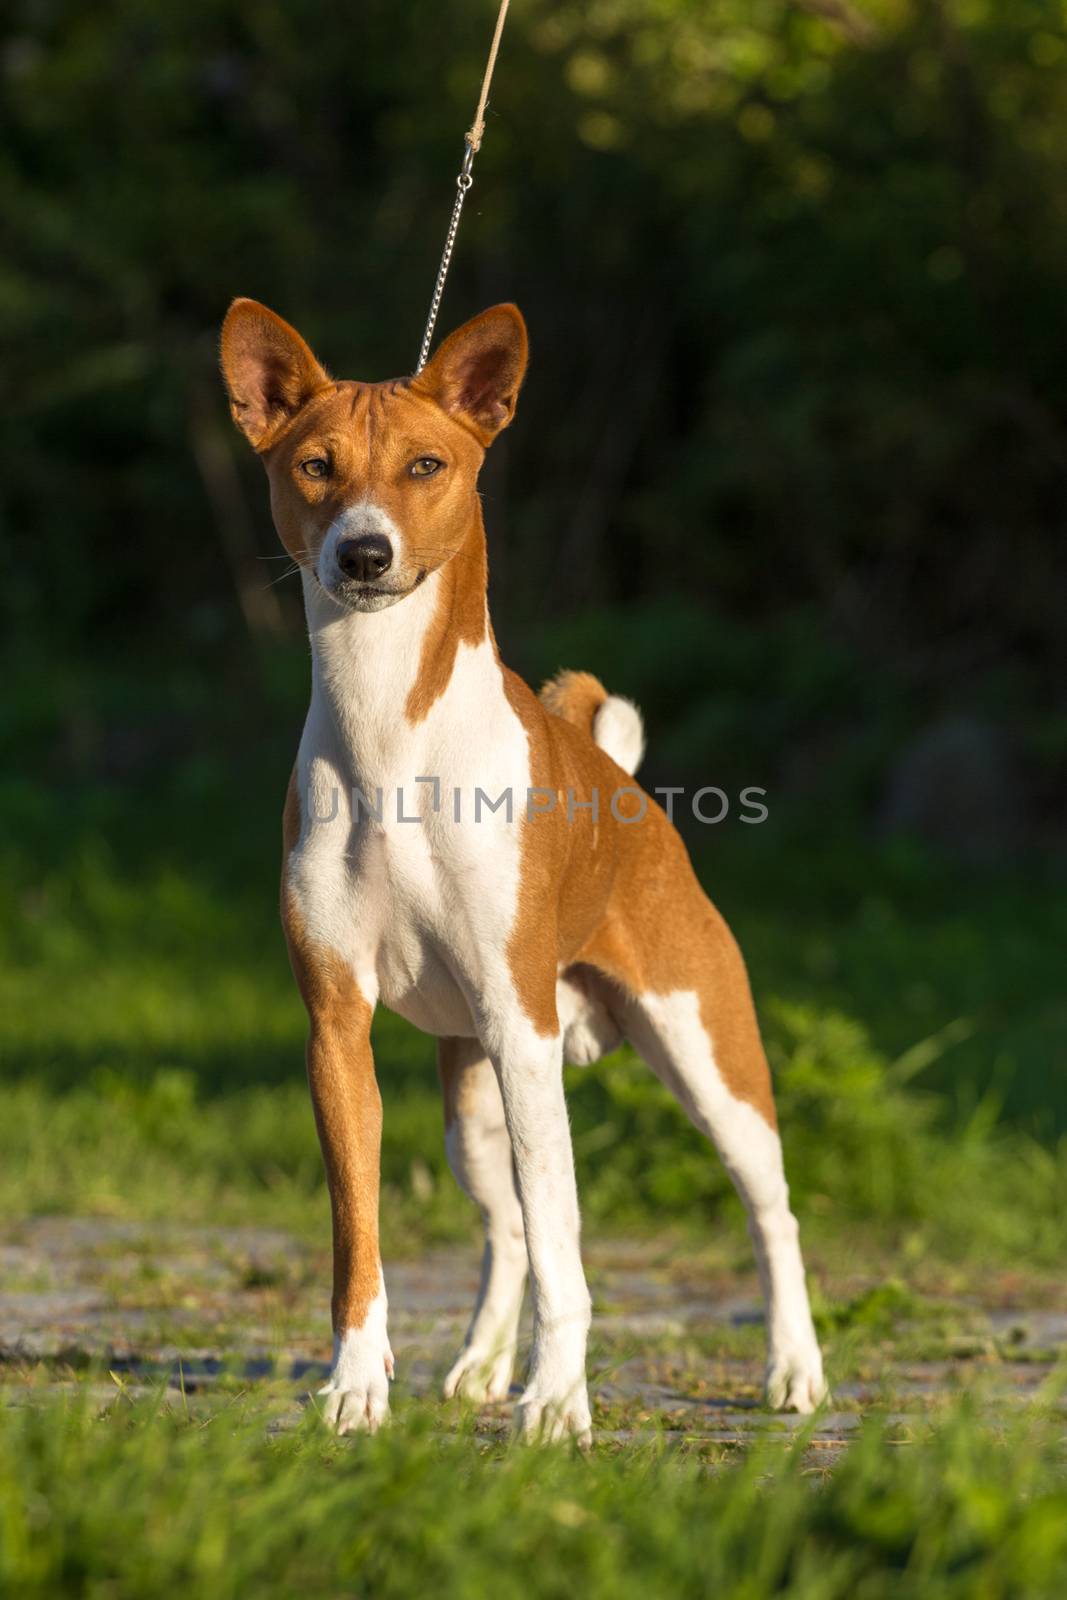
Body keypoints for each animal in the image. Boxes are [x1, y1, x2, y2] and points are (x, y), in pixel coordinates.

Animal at [220, 297, 831, 1440]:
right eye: (315, 467)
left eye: (425, 465)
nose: (362, 553)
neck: (390, 737)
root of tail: (621, 782)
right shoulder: (338, 1028)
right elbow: (362, 1238)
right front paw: (357, 1386)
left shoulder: (520, 1025)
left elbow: (565, 1244)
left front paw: (556, 1404)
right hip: (470, 1098)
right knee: (501, 1224)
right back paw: (477, 1362)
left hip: (704, 1058)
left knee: (768, 1212)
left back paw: (794, 1370)